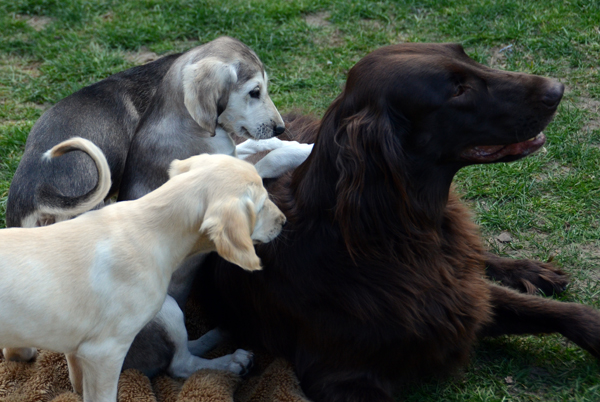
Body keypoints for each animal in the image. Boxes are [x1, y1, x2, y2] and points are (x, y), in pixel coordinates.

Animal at [0, 137, 286, 402]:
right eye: (261, 205)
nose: (283, 221)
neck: (152, 227)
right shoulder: (104, 351)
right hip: (168, 309)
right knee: (181, 364)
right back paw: (231, 362)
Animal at [193, 42, 600, 400]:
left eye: (466, 55)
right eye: (457, 90)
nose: (557, 88)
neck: (395, 239)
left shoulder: (462, 295)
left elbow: (568, 313)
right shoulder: (339, 376)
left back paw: (531, 270)